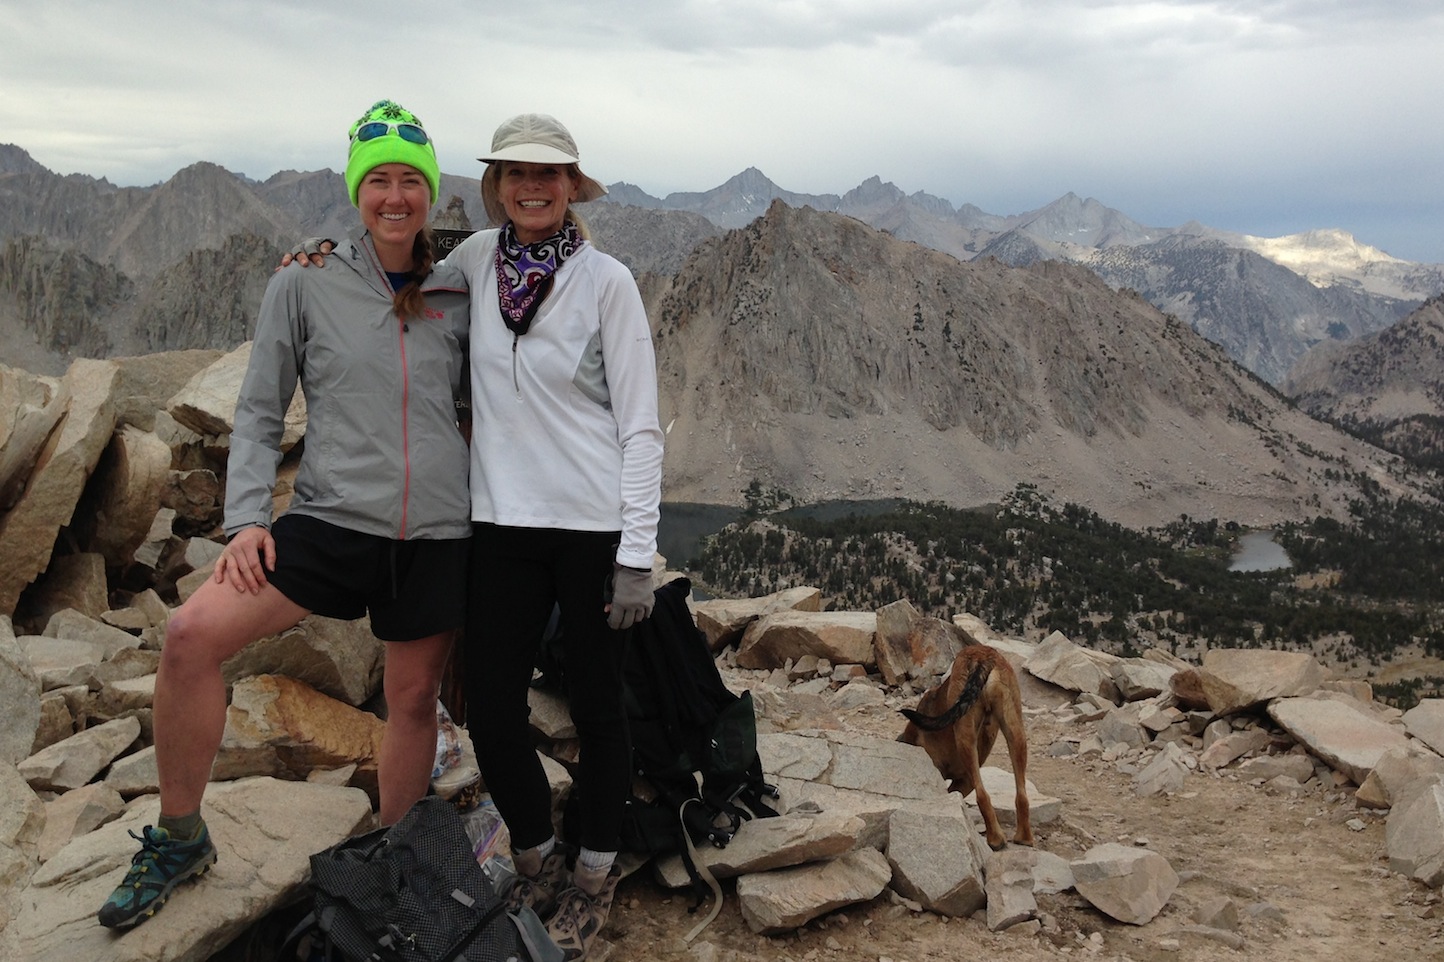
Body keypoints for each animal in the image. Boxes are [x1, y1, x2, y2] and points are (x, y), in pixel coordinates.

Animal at [895, 644, 1033, 849]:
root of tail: (982, 655)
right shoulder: (964, 782)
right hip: (1015, 731)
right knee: (1021, 795)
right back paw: (1024, 838)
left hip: (966, 735)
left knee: (982, 795)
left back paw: (996, 839)